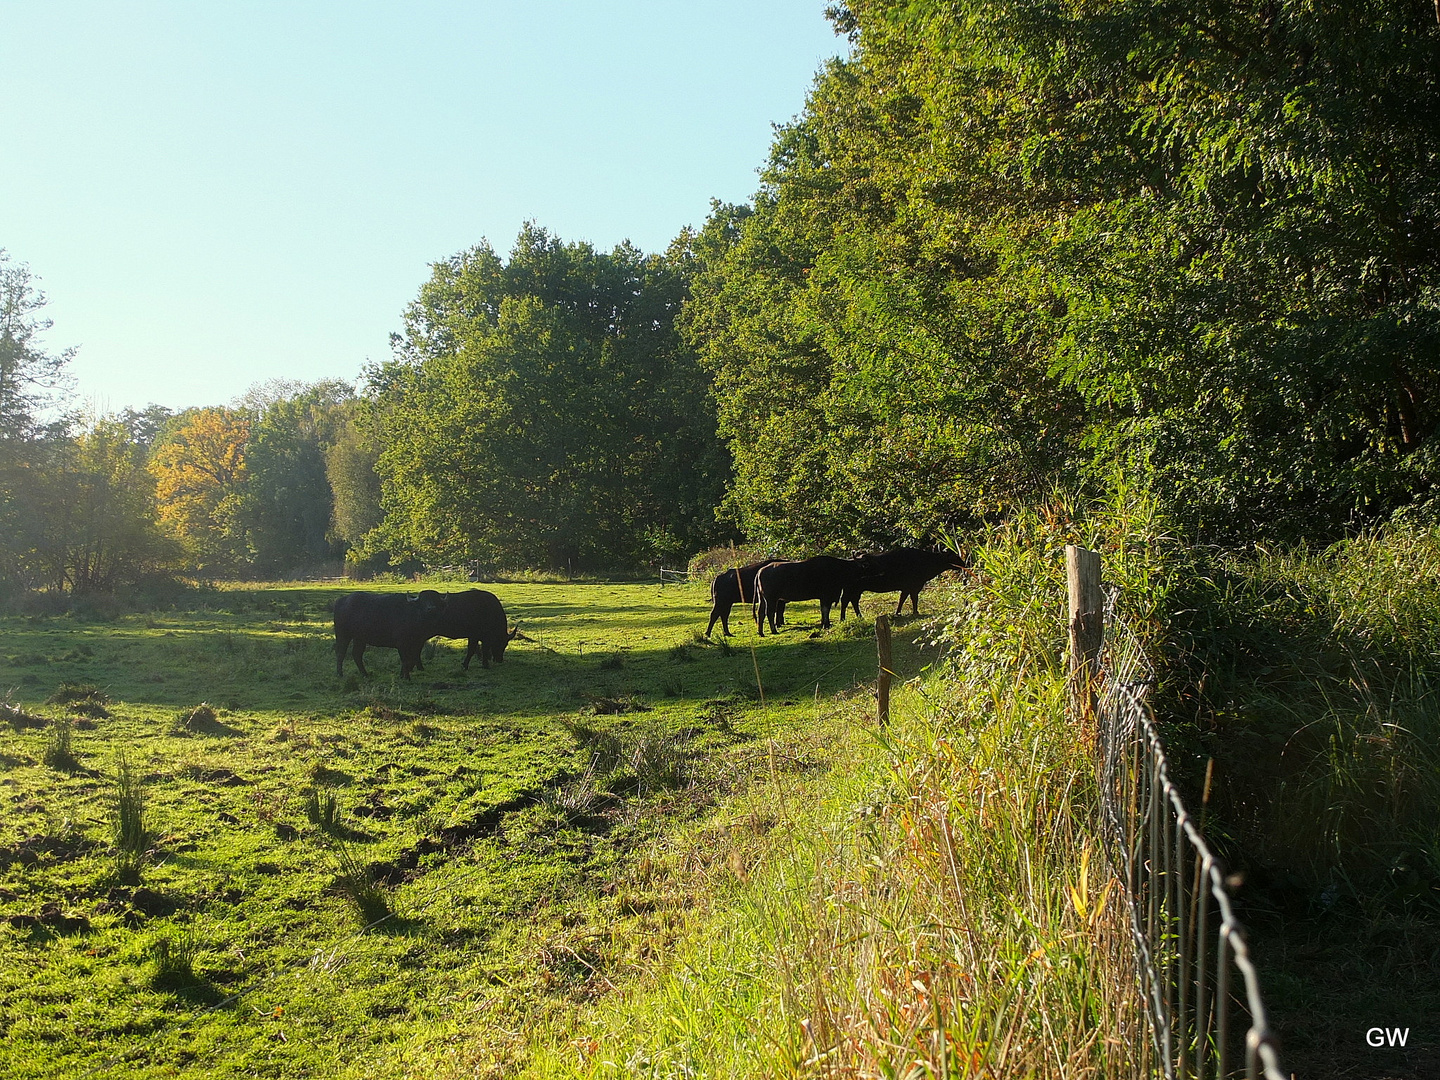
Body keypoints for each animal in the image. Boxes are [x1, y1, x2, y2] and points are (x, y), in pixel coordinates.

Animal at [840, 544, 973, 622]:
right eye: (954, 556)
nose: (964, 564)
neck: (925, 561)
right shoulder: (914, 586)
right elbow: (914, 599)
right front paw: (915, 612)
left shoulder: (907, 588)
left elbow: (902, 599)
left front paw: (898, 613)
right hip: (852, 589)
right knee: (846, 600)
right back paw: (843, 619)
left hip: (856, 589)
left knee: (853, 601)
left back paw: (859, 616)